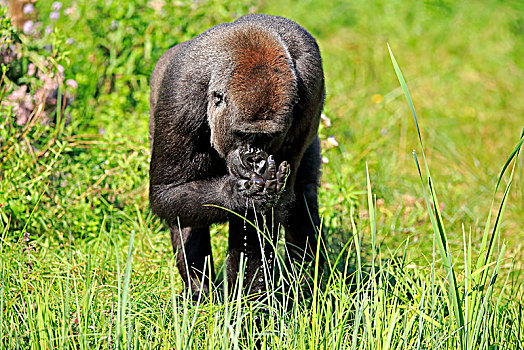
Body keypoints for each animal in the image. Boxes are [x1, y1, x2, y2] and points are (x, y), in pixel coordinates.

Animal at [149, 13, 326, 298]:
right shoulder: (180, 93)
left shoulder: (311, 83)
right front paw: (238, 193)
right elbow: (169, 192)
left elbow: (269, 212)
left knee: (303, 198)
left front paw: (250, 299)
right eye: (242, 134)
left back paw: (304, 285)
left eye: (267, 137)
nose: (254, 158)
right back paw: (199, 291)